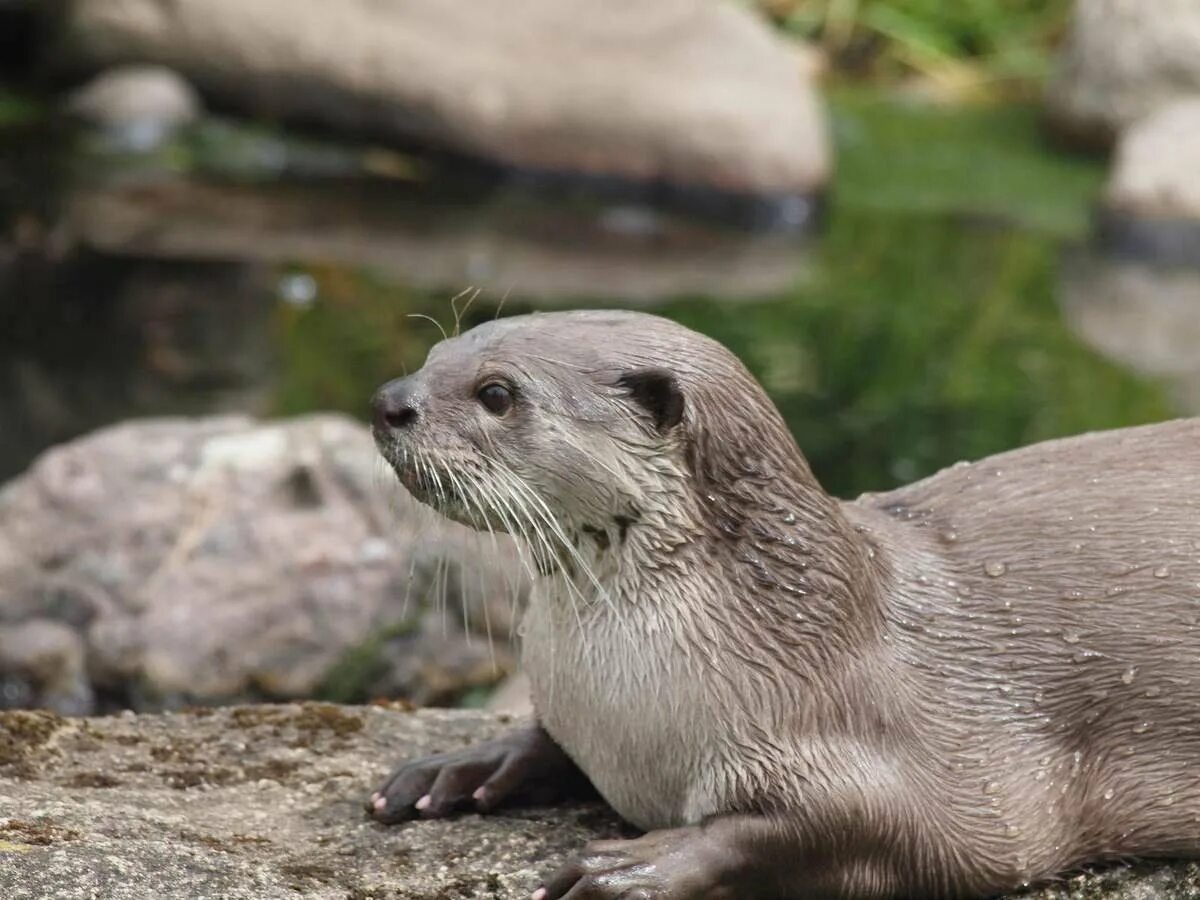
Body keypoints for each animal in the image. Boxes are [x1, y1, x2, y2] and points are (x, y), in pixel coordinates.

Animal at [362, 312, 1200, 900]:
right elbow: (546, 740)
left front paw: (636, 864)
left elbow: (841, 826)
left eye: (497, 394)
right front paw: (461, 766)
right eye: (437, 354)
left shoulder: (903, 751)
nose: (387, 401)